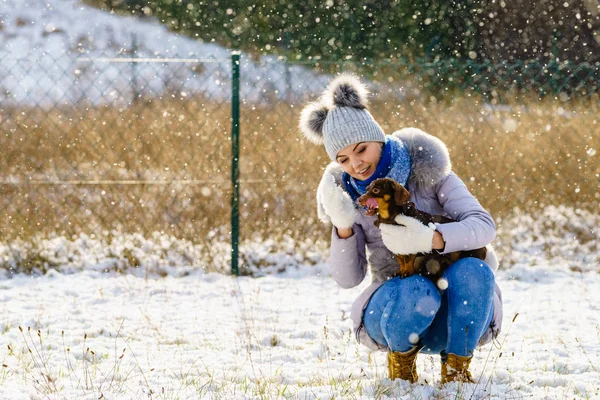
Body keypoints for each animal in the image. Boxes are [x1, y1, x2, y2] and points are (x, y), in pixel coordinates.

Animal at [356, 178, 488, 282]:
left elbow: (408, 260)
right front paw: (400, 271)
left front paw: (406, 272)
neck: (391, 218)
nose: (359, 199)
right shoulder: (396, 248)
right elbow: (401, 261)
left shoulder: (410, 246)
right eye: (367, 188)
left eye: (376, 190)